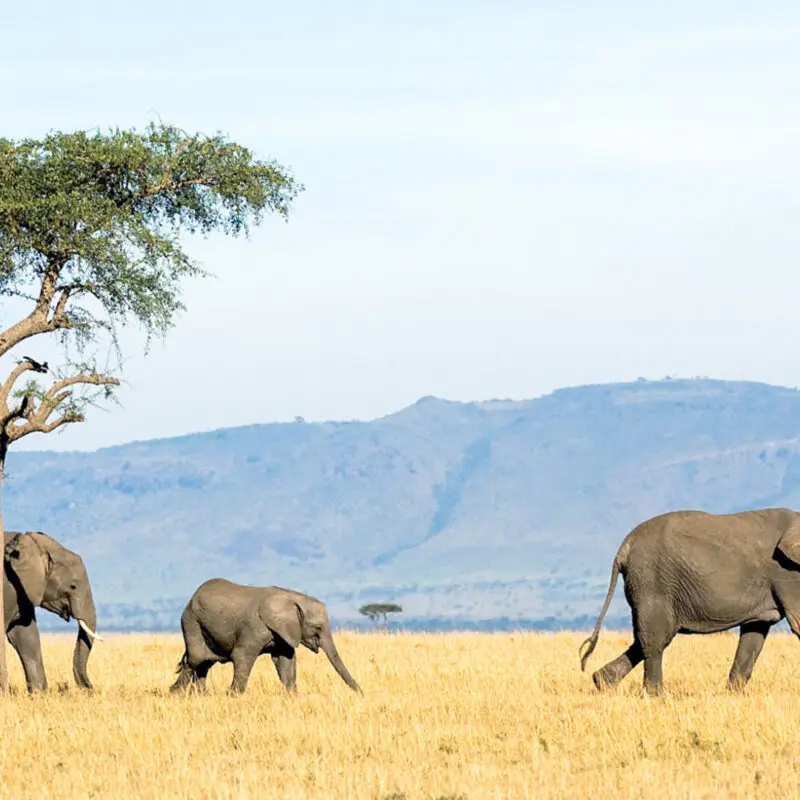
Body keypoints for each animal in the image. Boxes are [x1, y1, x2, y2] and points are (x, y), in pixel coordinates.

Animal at [170, 578, 362, 695]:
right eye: (318, 627)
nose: (361, 693)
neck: (291, 597)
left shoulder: (283, 633)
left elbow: (285, 661)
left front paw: (291, 695)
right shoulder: (254, 627)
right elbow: (241, 656)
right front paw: (232, 695)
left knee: (205, 662)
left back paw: (199, 695)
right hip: (191, 621)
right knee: (196, 659)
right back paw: (176, 693)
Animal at [579, 508, 800, 695]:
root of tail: (624, 547)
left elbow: (754, 634)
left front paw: (732, 696)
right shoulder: (786, 573)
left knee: (645, 639)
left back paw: (601, 682)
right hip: (653, 581)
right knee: (657, 638)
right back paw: (655, 696)